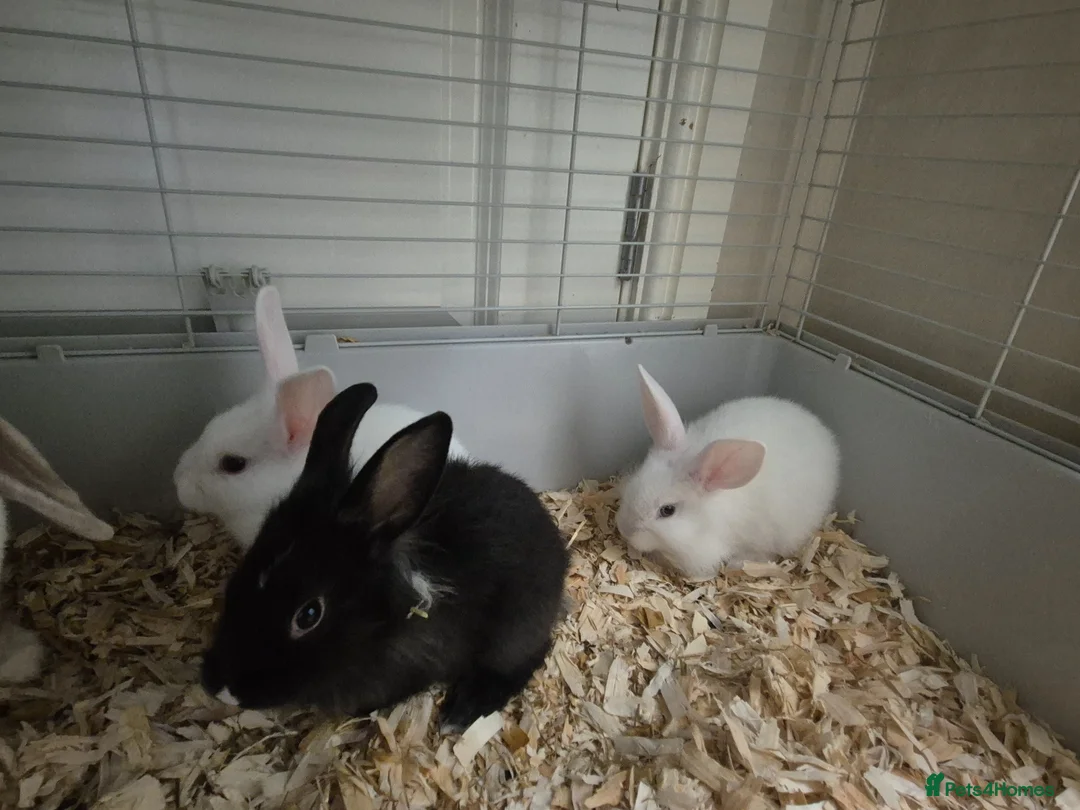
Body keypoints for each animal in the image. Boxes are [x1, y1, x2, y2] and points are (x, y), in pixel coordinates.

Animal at [200, 382, 568, 733]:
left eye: (309, 615)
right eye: (237, 579)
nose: (219, 688)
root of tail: (559, 551)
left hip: (515, 631)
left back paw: (463, 711)